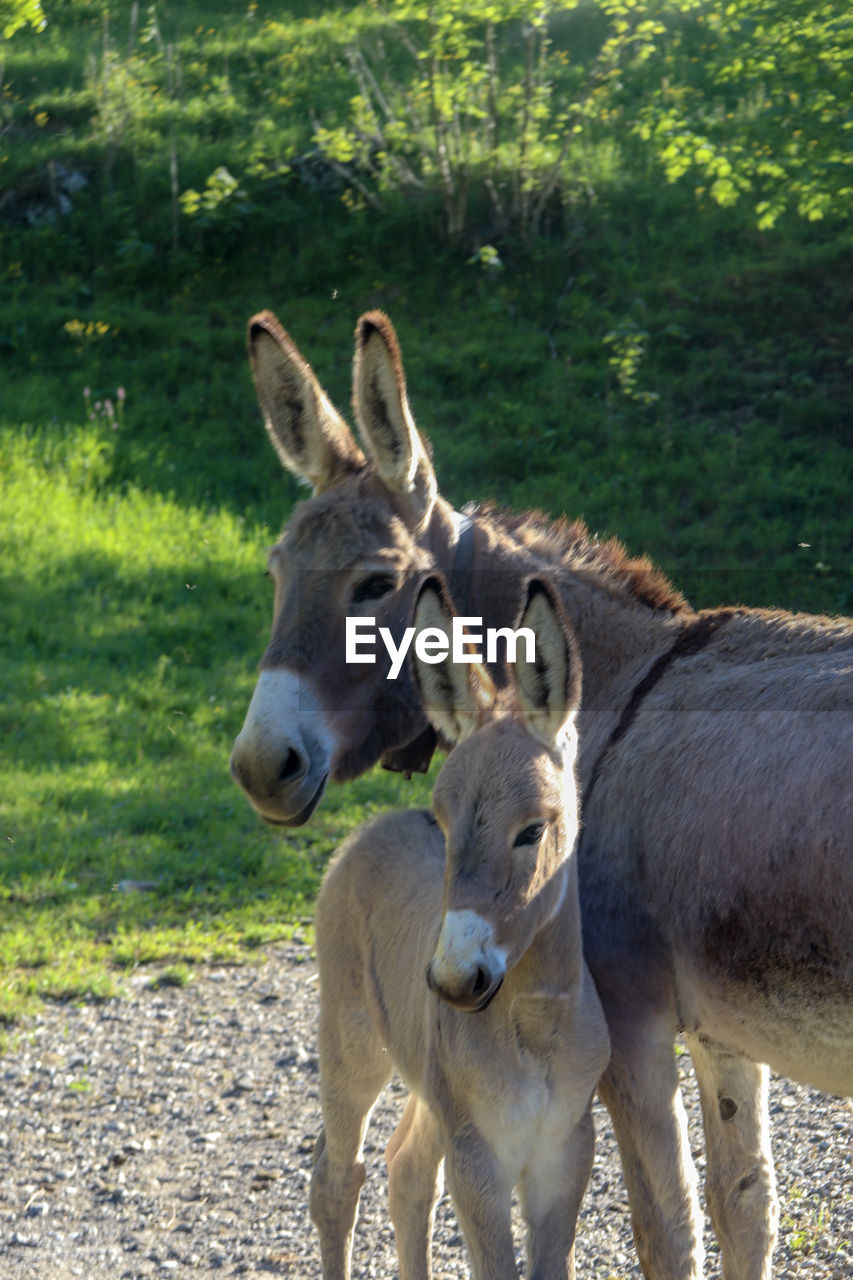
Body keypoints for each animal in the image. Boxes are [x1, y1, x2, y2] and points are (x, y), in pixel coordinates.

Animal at [308, 578, 607, 1280]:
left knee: (406, 1170)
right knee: (337, 1179)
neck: (534, 1028)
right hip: (351, 1041)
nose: (452, 980)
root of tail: (368, 829)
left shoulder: (566, 1152)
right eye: (443, 824)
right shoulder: (479, 1158)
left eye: (532, 831)